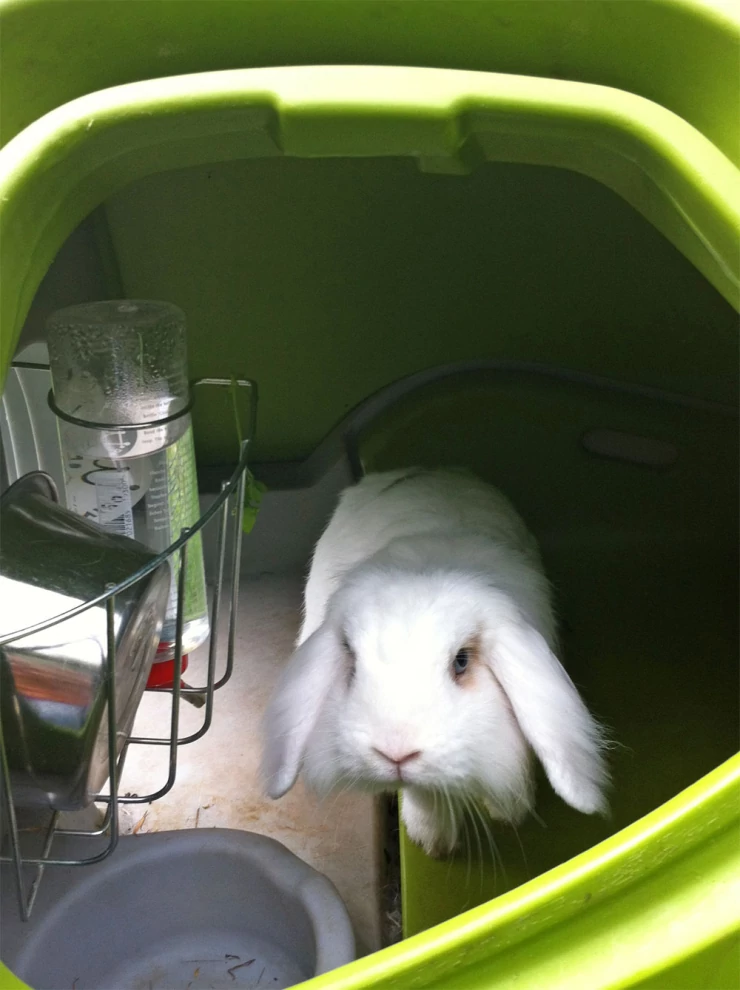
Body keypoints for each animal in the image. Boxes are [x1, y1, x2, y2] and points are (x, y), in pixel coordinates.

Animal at [262, 466, 608, 857]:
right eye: (352, 662)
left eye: (461, 661)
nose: (395, 753)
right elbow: (423, 792)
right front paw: (435, 842)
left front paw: (508, 813)